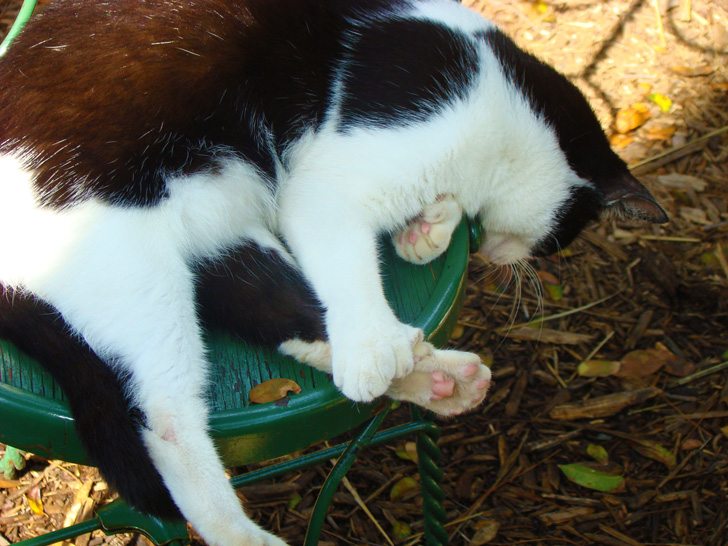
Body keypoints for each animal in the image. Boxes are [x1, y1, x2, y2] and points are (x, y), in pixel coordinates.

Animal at [0, 1, 668, 544]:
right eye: (563, 237)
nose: (505, 258)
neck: (505, 100)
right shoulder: (326, 187)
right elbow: (349, 266)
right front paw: (375, 344)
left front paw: (428, 229)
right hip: (130, 261)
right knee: (165, 418)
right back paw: (248, 530)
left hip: (219, 235)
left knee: (286, 313)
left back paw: (437, 378)